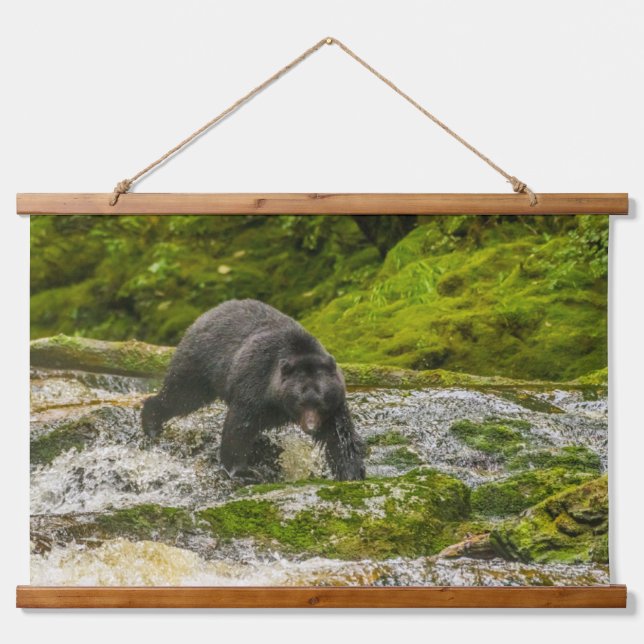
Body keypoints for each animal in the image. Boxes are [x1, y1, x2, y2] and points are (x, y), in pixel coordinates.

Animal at [142, 299, 366, 481]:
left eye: (320, 402)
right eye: (300, 402)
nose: (311, 427)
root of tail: (206, 314)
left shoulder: (335, 405)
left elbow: (340, 438)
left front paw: (352, 473)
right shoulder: (255, 382)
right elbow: (239, 426)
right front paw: (242, 471)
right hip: (201, 364)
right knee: (180, 395)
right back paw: (151, 423)